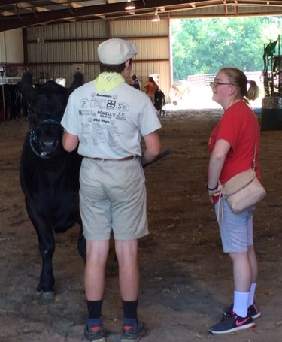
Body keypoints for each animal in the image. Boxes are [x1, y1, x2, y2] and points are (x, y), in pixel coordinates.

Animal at [19, 71, 85, 300]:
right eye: (31, 111)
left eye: (65, 109)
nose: (48, 143)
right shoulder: (33, 207)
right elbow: (47, 246)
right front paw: (46, 284)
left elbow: (84, 245)